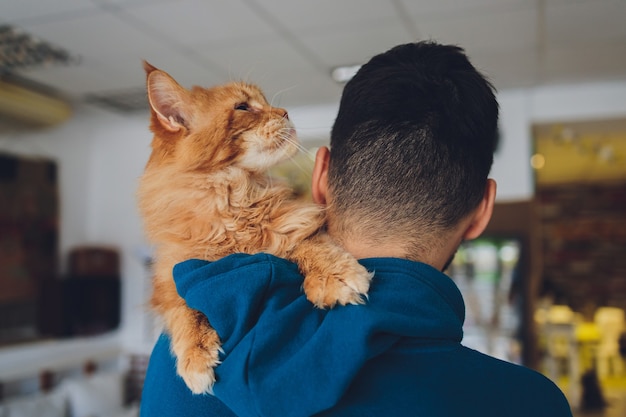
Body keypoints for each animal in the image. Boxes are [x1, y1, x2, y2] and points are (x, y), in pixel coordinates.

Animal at [136, 61, 370, 394]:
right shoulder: (170, 276)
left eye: (265, 102)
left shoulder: (295, 223)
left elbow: (305, 244)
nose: (285, 112)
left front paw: (332, 277)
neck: (235, 203)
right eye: (243, 107)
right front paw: (196, 356)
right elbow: (183, 310)